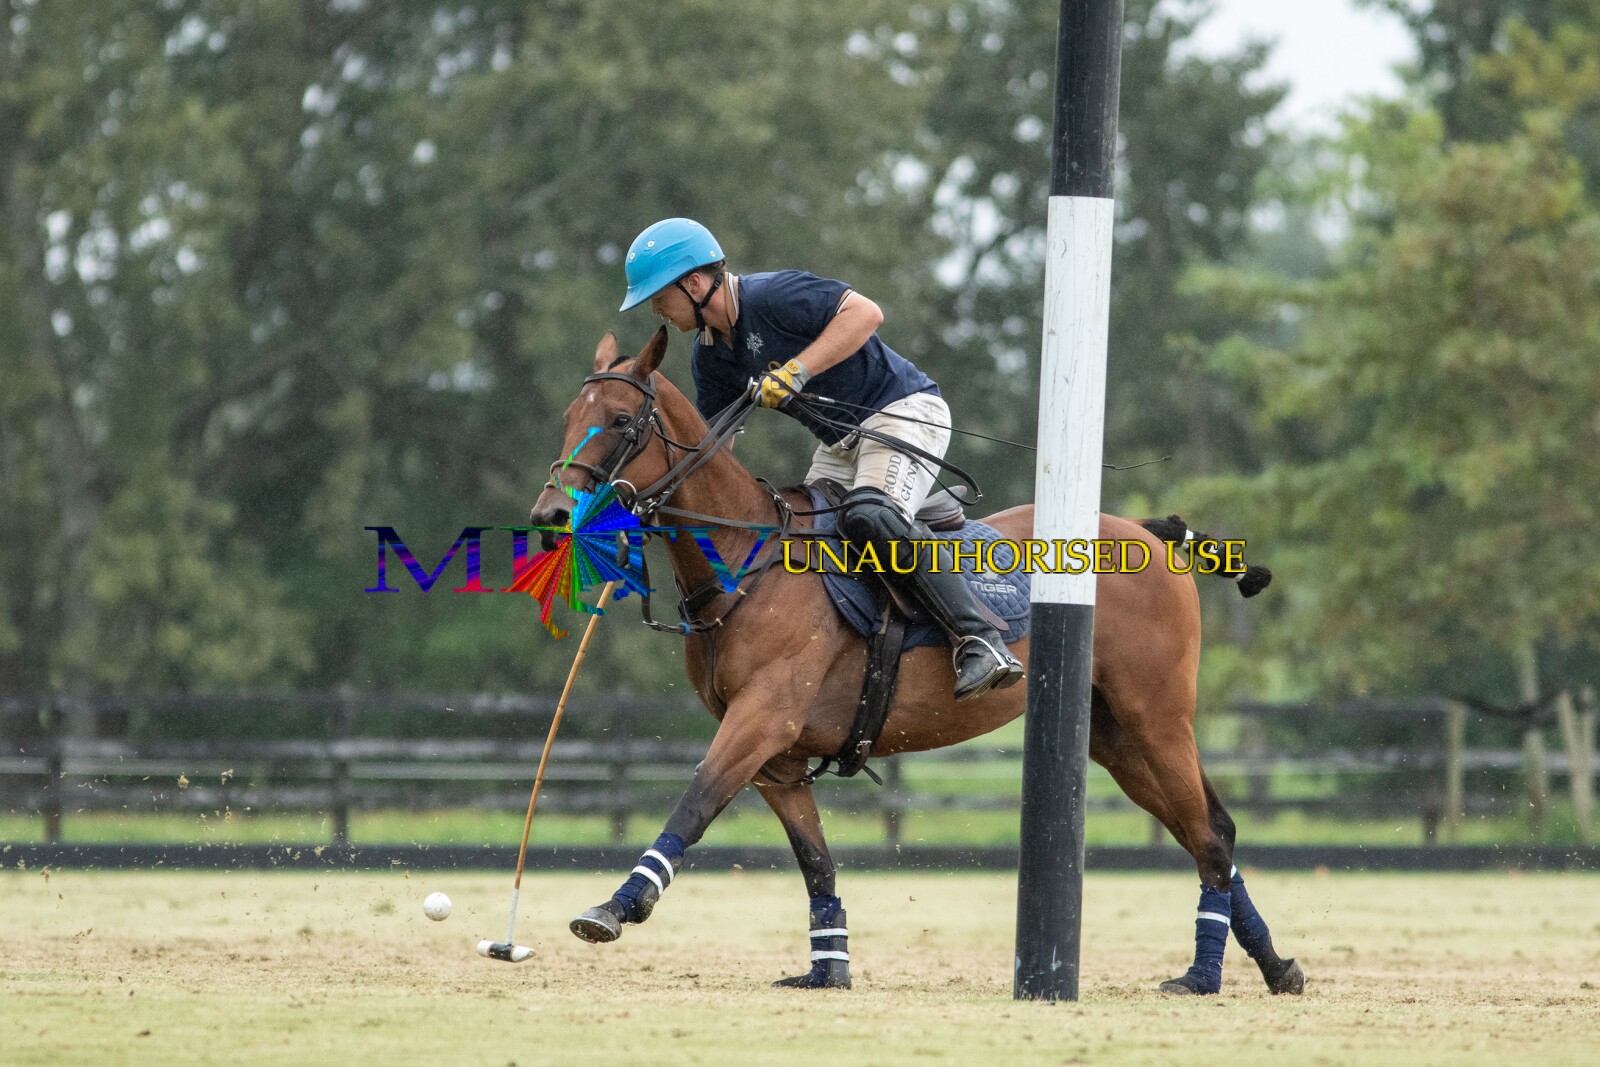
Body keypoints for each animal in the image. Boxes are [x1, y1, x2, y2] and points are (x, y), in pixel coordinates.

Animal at [528, 327, 1304, 996]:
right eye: (567, 417)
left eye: (622, 421)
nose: (550, 516)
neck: (747, 566)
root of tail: (1148, 532)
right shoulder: (780, 758)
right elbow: (815, 860)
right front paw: (827, 968)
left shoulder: (761, 721)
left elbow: (695, 798)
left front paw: (615, 907)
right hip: (1112, 733)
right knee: (1212, 828)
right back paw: (1274, 964)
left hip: (1156, 713)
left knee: (1208, 835)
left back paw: (1205, 974)